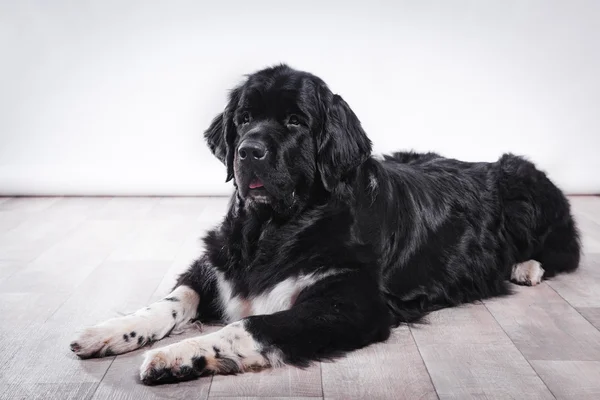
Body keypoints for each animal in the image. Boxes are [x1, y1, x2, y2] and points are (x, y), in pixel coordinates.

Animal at [70, 65, 580, 384]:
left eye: (296, 121)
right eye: (244, 118)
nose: (248, 152)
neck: (272, 230)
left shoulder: (351, 303)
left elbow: (251, 325)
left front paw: (175, 357)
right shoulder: (215, 263)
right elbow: (173, 300)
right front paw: (110, 331)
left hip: (522, 182)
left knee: (565, 250)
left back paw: (524, 268)